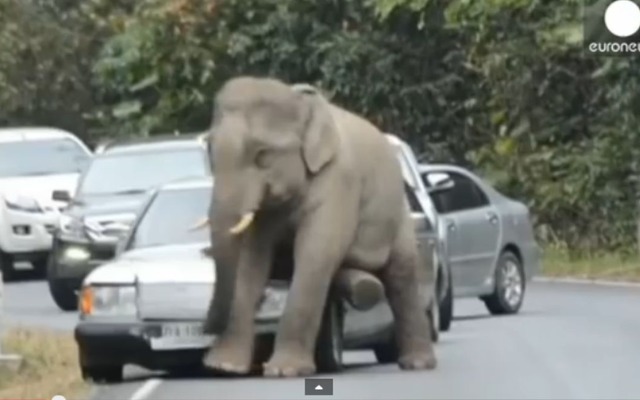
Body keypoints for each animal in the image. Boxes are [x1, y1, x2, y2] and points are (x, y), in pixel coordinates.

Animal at [201, 76, 440, 378]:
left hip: (399, 217)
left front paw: (285, 371)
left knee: (400, 276)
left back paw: (417, 363)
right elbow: (252, 262)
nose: (205, 327)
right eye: (210, 151)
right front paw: (224, 366)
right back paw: (364, 287)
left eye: (263, 155)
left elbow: (316, 253)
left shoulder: (339, 181)